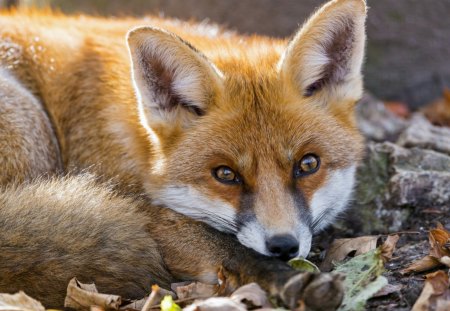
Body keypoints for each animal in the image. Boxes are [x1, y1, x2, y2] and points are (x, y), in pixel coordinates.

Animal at [0, 0, 366, 310]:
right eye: (225, 174)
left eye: (308, 164)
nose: (283, 246)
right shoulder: (145, 211)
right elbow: (229, 247)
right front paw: (294, 283)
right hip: (33, 128)